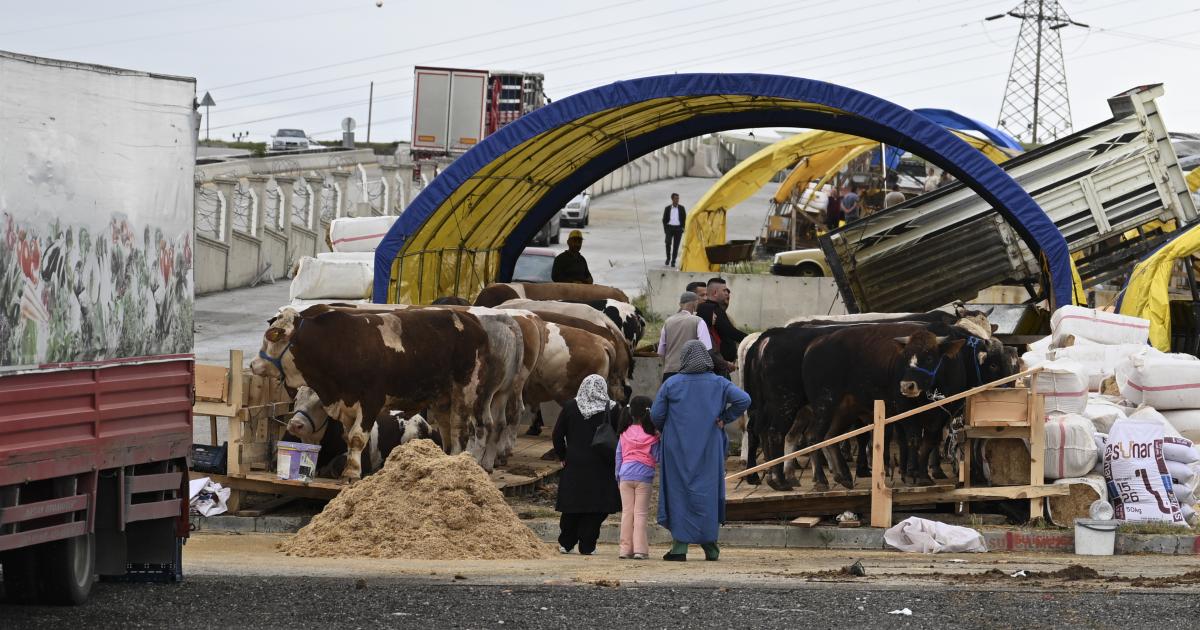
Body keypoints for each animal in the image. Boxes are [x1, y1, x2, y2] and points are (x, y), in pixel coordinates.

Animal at [250, 306, 494, 482]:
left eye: (271, 338)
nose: (253, 364)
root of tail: (471, 321)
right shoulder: (346, 404)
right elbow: (348, 437)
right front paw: (350, 468)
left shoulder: (370, 402)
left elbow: (357, 437)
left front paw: (351, 474)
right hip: (441, 396)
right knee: (445, 427)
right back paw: (443, 459)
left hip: (467, 389)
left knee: (467, 428)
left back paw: (462, 460)